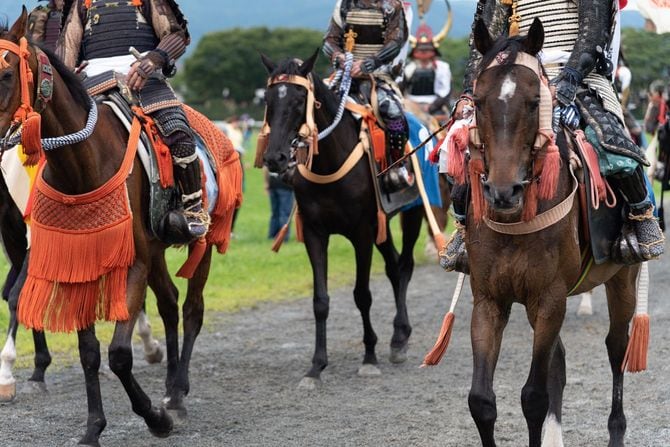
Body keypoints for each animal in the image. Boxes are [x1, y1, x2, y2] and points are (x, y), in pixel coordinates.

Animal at [0, 10, 236, 444]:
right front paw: (93, 427)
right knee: (169, 304)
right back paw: (169, 385)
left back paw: (178, 394)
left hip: (205, 240)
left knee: (192, 309)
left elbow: (119, 355)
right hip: (156, 250)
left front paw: (155, 419)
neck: (83, 167)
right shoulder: (77, 263)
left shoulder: (133, 264)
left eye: (6, 74)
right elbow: (89, 352)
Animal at [259, 52, 428, 388]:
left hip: (413, 211)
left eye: (299, 100)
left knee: (404, 265)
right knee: (393, 266)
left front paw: (369, 357)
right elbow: (320, 301)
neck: (329, 162)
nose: (275, 158)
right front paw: (316, 366)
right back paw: (397, 336)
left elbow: (362, 295)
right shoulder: (315, 233)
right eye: (269, 100)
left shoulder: (361, 233)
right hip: (381, 224)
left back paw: (400, 337)